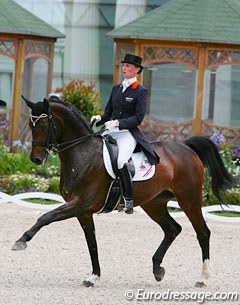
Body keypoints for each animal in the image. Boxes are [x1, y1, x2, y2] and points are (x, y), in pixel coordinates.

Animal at [12, 97, 238, 288]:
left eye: (43, 125)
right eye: (31, 125)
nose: (36, 159)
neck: (82, 154)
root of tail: (186, 148)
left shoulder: (80, 204)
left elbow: (46, 217)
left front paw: (20, 241)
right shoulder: (83, 211)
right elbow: (91, 242)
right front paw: (93, 276)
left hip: (189, 200)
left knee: (203, 232)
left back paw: (202, 278)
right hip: (153, 203)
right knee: (173, 229)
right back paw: (157, 269)